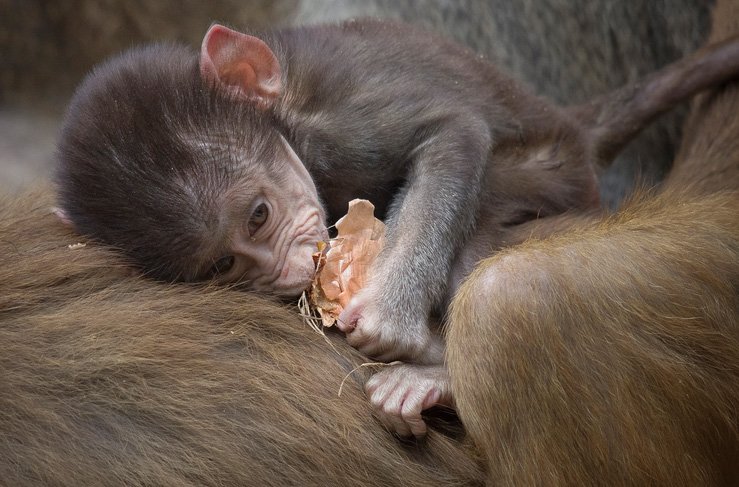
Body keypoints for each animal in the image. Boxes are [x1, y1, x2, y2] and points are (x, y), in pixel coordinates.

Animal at [56, 21, 739, 436]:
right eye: (223, 265)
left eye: (259, 214)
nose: (287, 274)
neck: (289, 115)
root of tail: (572, 126)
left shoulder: (341, 121)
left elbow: (453, 133)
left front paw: (388, 316)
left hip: (548, 170)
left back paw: (439, 381)